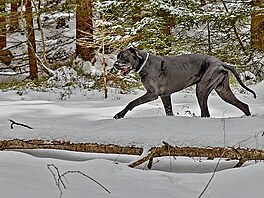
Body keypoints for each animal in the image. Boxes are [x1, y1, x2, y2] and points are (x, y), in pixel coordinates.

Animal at [113, 47, 256, 119]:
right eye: (117, 57)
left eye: (124, 57)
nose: (115, 64)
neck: (144, 63)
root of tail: (221, 63)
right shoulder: (165, 96)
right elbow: (169, 111)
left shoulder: (152, 94)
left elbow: (132, 102)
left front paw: (120, 114)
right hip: (224, 91)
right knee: (244, 105)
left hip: (202, 89)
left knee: (206, 113)